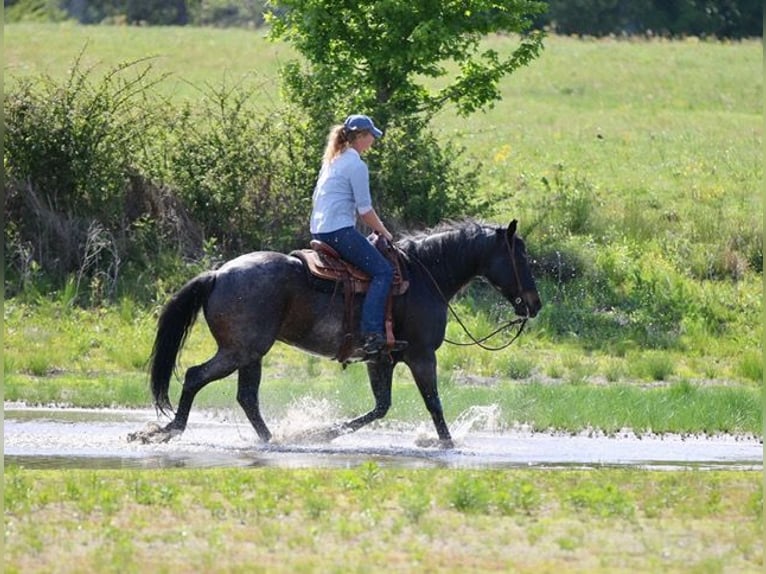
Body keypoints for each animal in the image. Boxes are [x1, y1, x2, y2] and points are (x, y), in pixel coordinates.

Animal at [129, 219, 542, 448]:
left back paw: (274, 439)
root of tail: (218, 274)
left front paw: (319, 433)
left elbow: (380, 407)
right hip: (239, 351)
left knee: (246, 398)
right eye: (520, 256)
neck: (426, 275)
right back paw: (170, 430)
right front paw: (447, 443)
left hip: (250, 354)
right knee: (196, 376)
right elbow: (433, 404)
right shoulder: (422, 355)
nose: (533, 304)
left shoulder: (382, 360)